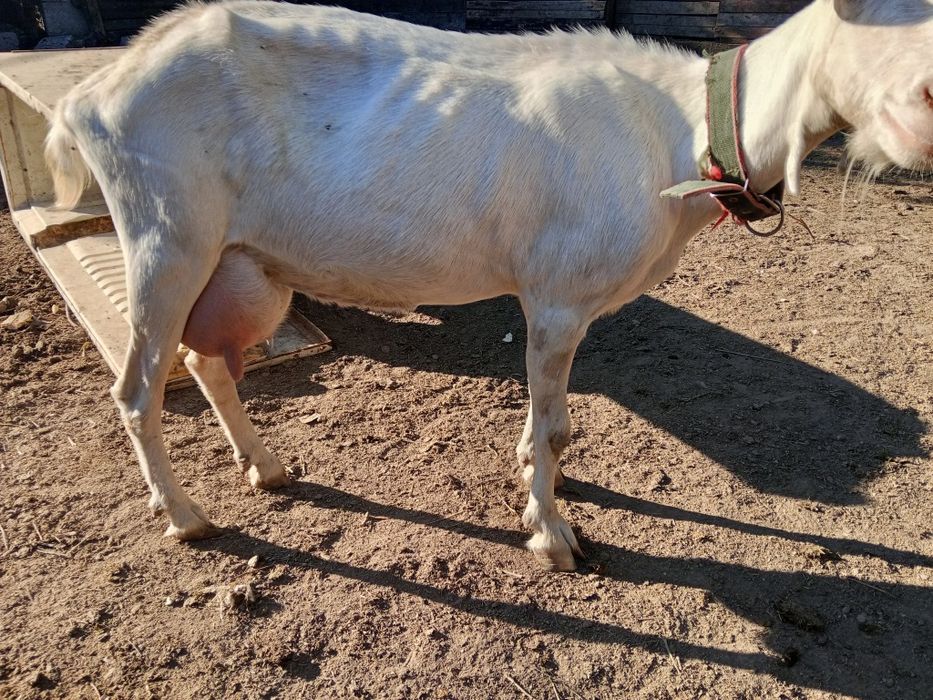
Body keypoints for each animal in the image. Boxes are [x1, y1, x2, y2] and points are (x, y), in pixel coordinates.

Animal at [45, 0, 933, 570]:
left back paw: (266, 469)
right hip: (166, 236)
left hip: (242, 265)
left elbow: (552, 420)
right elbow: (555, 427)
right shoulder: (557, 294)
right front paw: (553, 536)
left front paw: (540, 482)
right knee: (137, 389)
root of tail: (93, 91)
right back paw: (187, 518)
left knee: (207, 361)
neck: (681, 131)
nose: (922, 121)